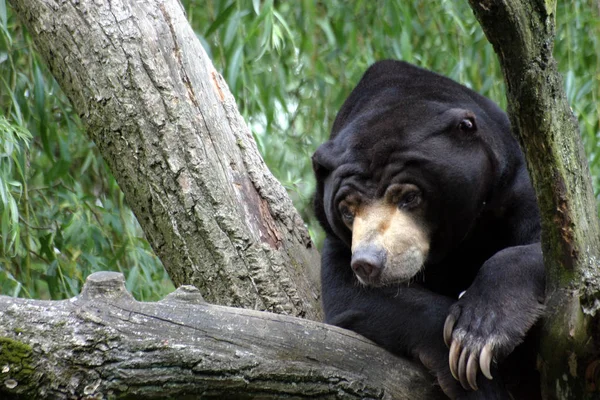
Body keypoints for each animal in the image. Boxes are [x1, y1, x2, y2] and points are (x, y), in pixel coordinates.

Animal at [314, 60, 548, 400]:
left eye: (409, 197)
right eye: (347, 210)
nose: (368, 264)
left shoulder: (515, 181)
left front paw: (480, 331)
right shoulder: (338, 241)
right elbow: (347, 293)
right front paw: (470, 370)